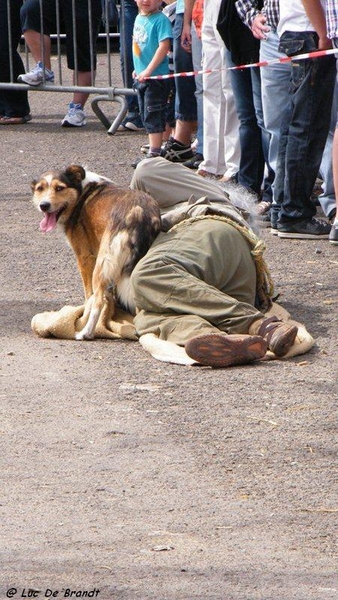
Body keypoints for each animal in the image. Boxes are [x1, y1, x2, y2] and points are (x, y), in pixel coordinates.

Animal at [31, 164, 162, 340]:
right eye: (40, 188)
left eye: (60, 188)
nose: (44, 205)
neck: (80, 191)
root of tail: (138, 212)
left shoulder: (85, 258)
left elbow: (89, 296)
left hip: (102, 264)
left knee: (98, 301)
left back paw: (85, 332)